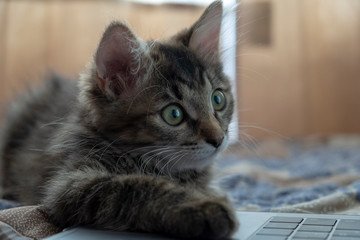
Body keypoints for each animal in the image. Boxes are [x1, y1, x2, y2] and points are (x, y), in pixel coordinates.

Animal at [1, 0, 240, 239]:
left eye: (218, 99)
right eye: (174, 114)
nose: (219, 139)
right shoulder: (70, 185)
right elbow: (136, 188)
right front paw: (203, 207)